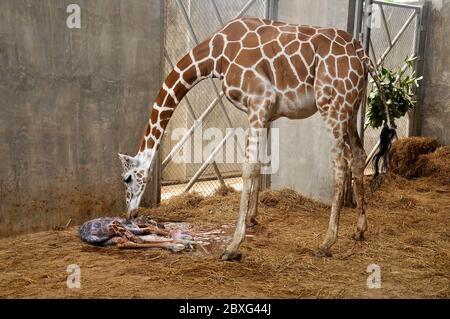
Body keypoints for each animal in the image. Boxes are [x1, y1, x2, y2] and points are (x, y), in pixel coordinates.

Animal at [118, 17, 378, 262]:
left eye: (127, 178)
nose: (130, 214)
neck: (216, 56)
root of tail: (361, 54)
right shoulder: (266, 112)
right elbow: (261, 163)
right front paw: (253, 218)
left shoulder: (260, 101)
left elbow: (248, 167)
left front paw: (233, 246)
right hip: (351, 109)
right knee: (359, 155)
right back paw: (359, 229)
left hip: (332, 105)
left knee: (340, 163)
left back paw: (326, 243)